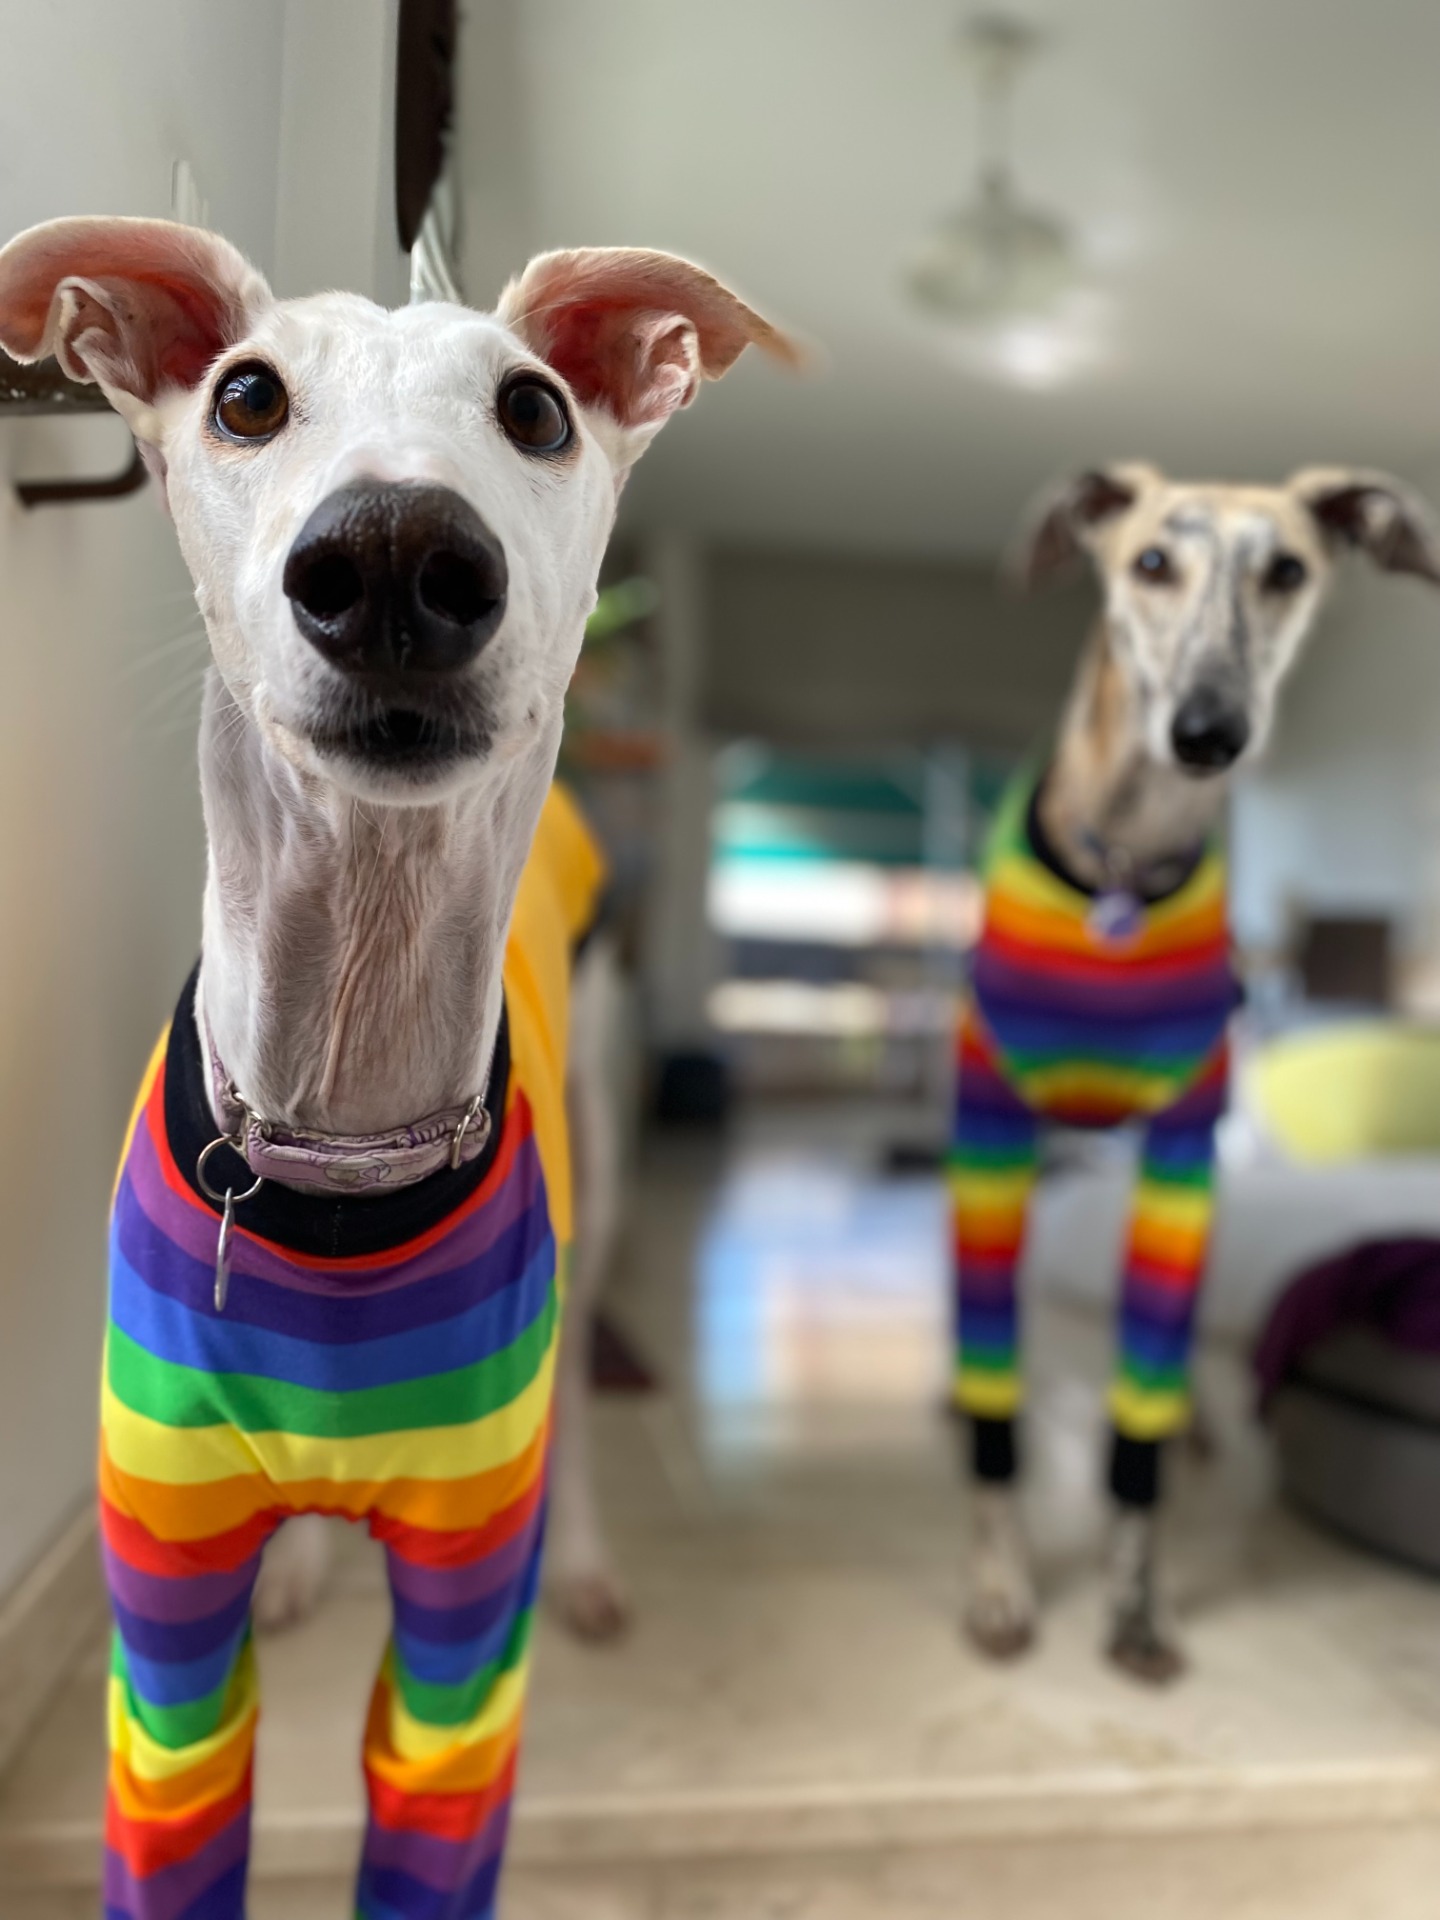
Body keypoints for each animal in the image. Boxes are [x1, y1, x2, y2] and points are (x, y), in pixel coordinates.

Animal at [0, 214, 793, 1919]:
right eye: (243, 395)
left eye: (537, 408)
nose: (387, 561)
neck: (337, 1142)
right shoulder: (165, 1622)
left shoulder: (463, 1623)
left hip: (601, 1175)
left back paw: (594, 1567)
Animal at [952, 462, 1440, 1682]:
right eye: (1152, 563)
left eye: (1289, 571)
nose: (1209, 732)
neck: (1126, 861)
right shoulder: (988, 1143)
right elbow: (995, 1406)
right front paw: (999, 1582)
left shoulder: (1182, 1158)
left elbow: (1144, 1421)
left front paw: (1136, 1604)